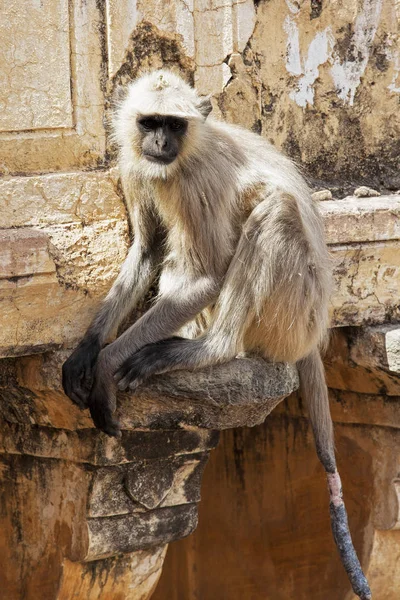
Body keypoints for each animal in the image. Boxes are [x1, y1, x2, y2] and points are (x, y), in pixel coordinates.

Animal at [62, 70, 372, 600]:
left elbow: (208, 275)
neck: (182, 157)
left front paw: (104, 366)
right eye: (150, 122)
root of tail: (314, 331)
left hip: (291, 311)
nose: (161, 143)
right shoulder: (137, 166)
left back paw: (208, 350)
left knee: (274, 211)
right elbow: (147, 250)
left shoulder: (194, 182)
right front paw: (87, 350)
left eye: (174, 124)